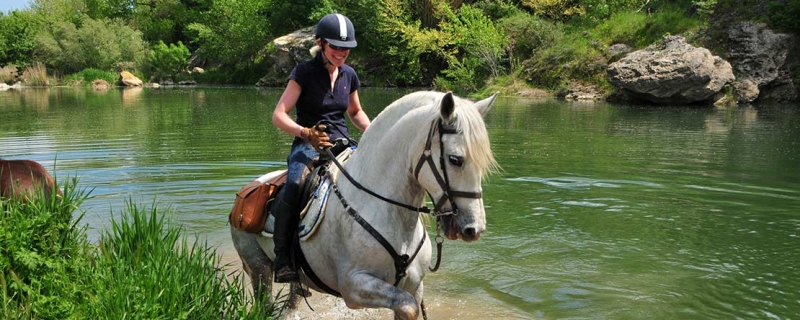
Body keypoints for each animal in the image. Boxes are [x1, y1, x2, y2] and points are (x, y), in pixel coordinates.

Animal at [228, 90, 496, 318]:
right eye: (455, 159)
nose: (473, 228)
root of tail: (246, 190)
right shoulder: (354, 287)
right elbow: (407, 307)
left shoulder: (414, 286)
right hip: (259, 269)